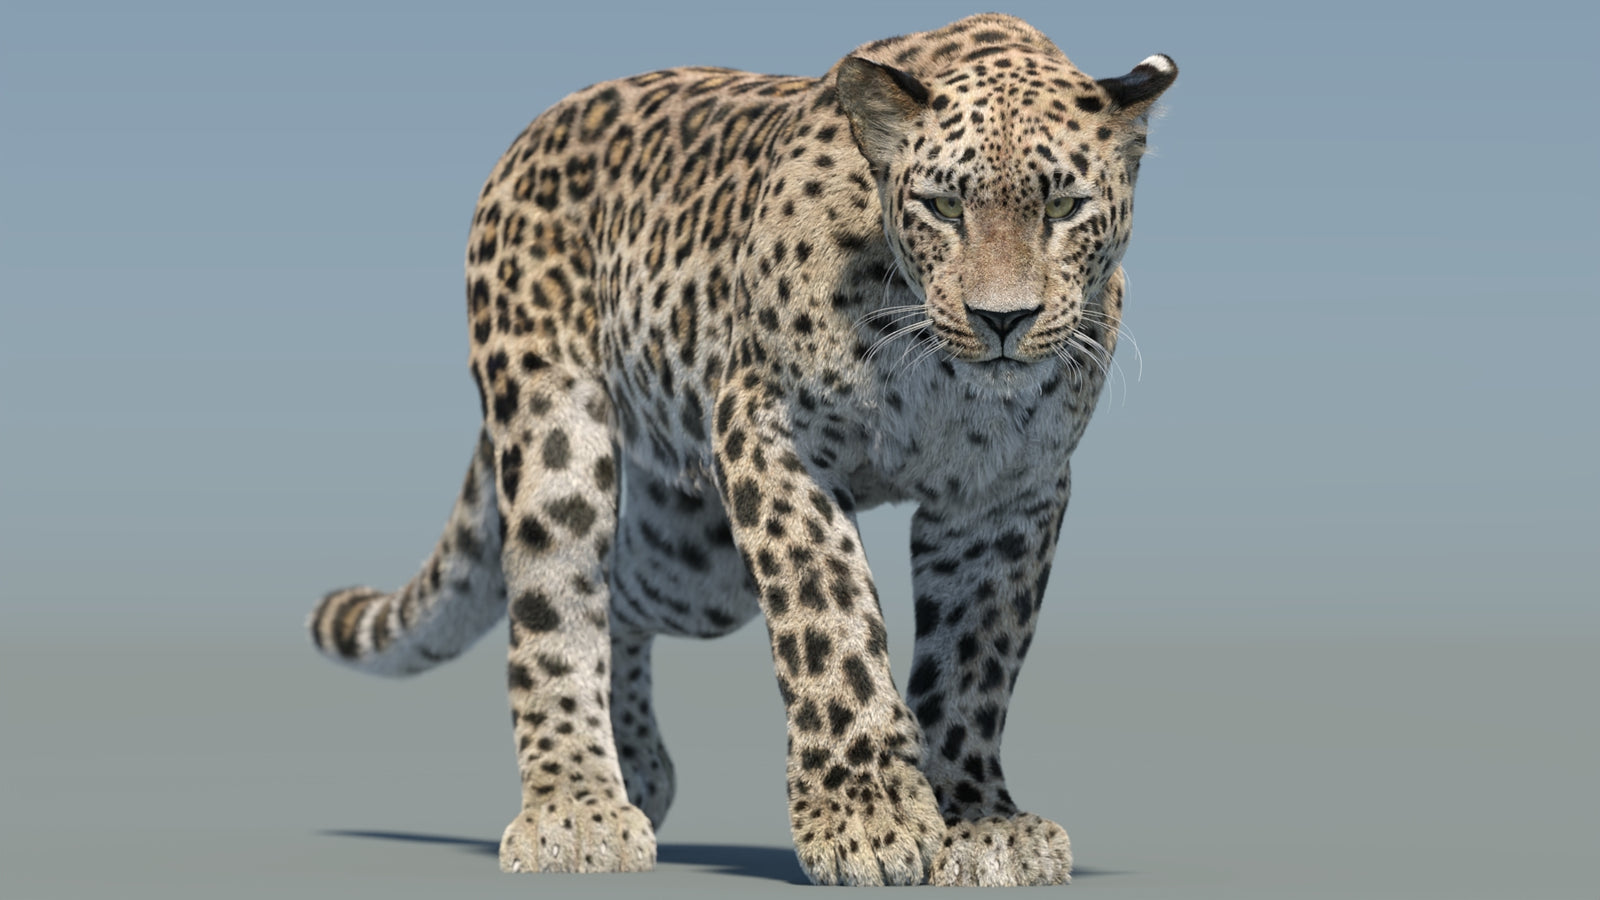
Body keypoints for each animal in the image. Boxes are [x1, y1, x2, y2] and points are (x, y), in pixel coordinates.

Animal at [309, 13, 1175, 887]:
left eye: (1063, 206)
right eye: (941, 207)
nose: (1002, 319)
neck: (936, 370)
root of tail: (534, 131)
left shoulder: (1006, 492)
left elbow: (975, 659)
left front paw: (978, 820)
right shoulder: (769, 431)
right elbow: (829, 612)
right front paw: (866, 816)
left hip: (693, 559)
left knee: (622, 596)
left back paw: (637, 771)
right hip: (557, 430)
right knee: (556, 603)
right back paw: (576, 809)